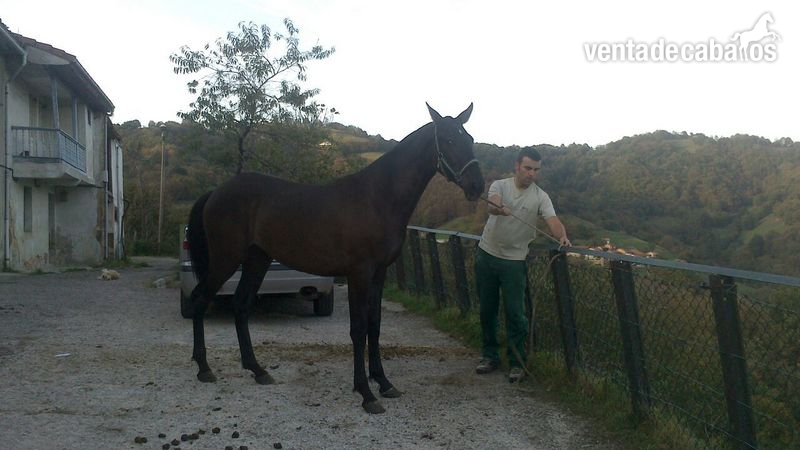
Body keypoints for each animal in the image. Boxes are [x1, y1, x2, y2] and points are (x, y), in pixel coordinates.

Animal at [185, 103, 484, 414]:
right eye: (449, 140)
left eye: (469, 138)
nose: (477, 186)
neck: (378, 198)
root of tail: (217, 192)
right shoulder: (359, 274)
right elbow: (359, 329)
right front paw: (366, 393)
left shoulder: (379, 274)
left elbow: (375, 325)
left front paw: (384, 383)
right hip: (226, 259)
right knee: (199, 298)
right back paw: (204, 368)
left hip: (257, 260)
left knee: (241, 304)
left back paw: (257, 370)